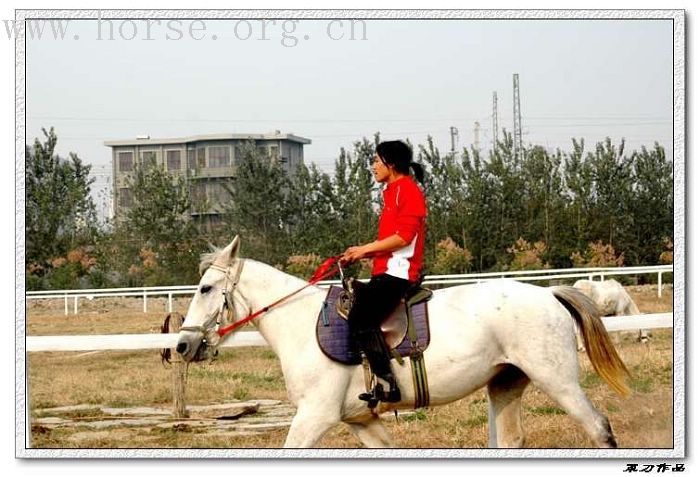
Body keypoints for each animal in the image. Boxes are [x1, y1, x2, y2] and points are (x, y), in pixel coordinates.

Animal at [175, 236, 628, 448]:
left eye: (206, 288)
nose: (181, 346)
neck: (301, 325)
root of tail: (549, 294)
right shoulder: (361, 420)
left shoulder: (314, 416)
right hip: (505, 383)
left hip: (558, 380)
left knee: (598, 428)